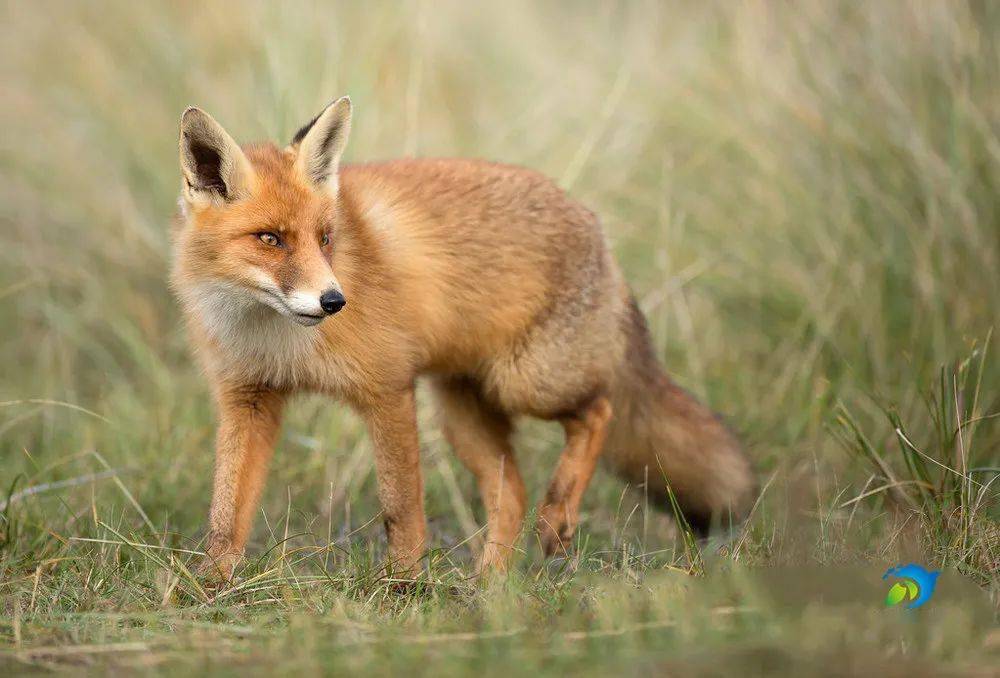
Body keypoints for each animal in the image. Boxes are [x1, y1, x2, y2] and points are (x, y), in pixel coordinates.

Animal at [172, 97, 752, 584]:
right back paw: (489, 588)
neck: (275, 339)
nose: (334, 301)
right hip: (461, 413)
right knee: (512, 493)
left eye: (325, 239)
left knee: (598, 411)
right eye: (270, 239)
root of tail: (596, 227)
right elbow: (226, 513)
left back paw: (558, 516)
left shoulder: (388, 390)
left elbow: (401, 506)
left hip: (527, 383)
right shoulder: (248, 399)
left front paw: (403, 586)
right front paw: (207, 589)